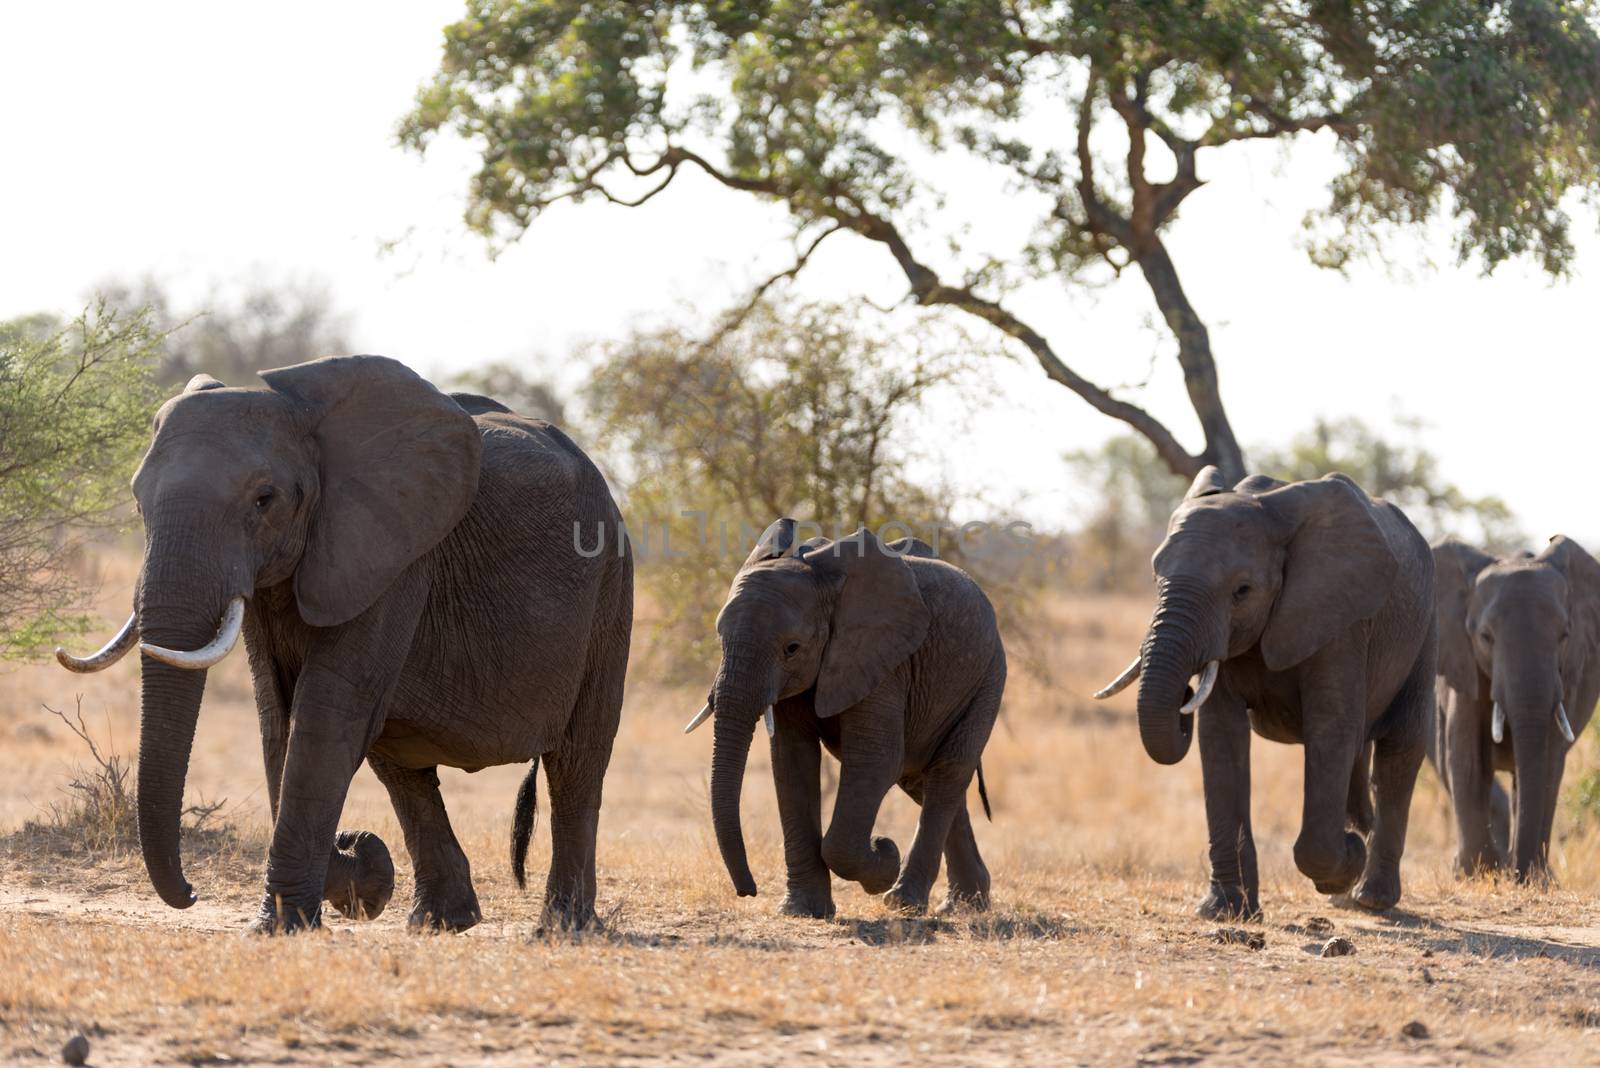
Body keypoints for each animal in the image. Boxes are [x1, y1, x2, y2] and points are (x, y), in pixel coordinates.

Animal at [62, 354, 636, 927]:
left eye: (264, 500)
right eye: (139, 504)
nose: (190, 893)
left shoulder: (396, 556)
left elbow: (326, 708)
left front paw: (284, 922)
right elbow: (277, 714)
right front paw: (351, 880)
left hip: (610, 586)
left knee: (577, 764)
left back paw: (560, 927)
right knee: (403, 768)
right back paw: (440, 920)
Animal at [684, 518, 998, 920]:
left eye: (792, 649)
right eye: (719, 640)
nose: (748, 891)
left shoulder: (883, 658)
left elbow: (874, 759)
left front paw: (884, 855)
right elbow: (792, 761)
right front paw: (802, 911)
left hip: (987, 677)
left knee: (947, 772)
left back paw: (904, 901)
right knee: (923, 780)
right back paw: (965, 904)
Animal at [1094, 466, 1433, 920]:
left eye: (1242, 591)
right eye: (1155, 578)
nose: (1185, 689)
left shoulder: (1340, 619)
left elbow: (1330, 727)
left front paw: (1347, 859)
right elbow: (1221, 737)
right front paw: (1224, 910)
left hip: (1426, 629)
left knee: (1400, 747)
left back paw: (1370, 894)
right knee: (1360, 754)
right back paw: (1350, 882)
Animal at [1427, 537, 1600, 882]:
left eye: (1564, 635)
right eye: (1485, 637)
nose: (1517, 875)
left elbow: (1547, 764)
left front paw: (1536, 880)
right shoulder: (1462, 666)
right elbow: (1466, 760)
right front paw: (1477, 873)